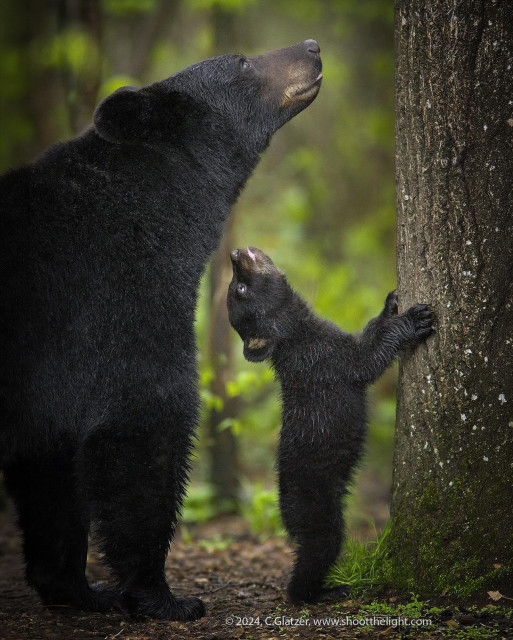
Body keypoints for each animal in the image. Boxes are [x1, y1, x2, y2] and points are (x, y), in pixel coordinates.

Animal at [0, 40, 322, 620]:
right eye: (241, 62)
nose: (311, 47)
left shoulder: (52, 378)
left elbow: (53, 463)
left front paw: (81, 589)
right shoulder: (116, 294)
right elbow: (145, 419)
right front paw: (163, 596)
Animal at [227, 247, 433, 603]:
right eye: (238, 287)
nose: (235, 252)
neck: (299, 333)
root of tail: (285, 511)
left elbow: (372, 329)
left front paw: (391, 301)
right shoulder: (332, 358)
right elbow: (370, 355)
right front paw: (414, 318)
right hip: (319, 512)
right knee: (313, 558)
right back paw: (325, 592)